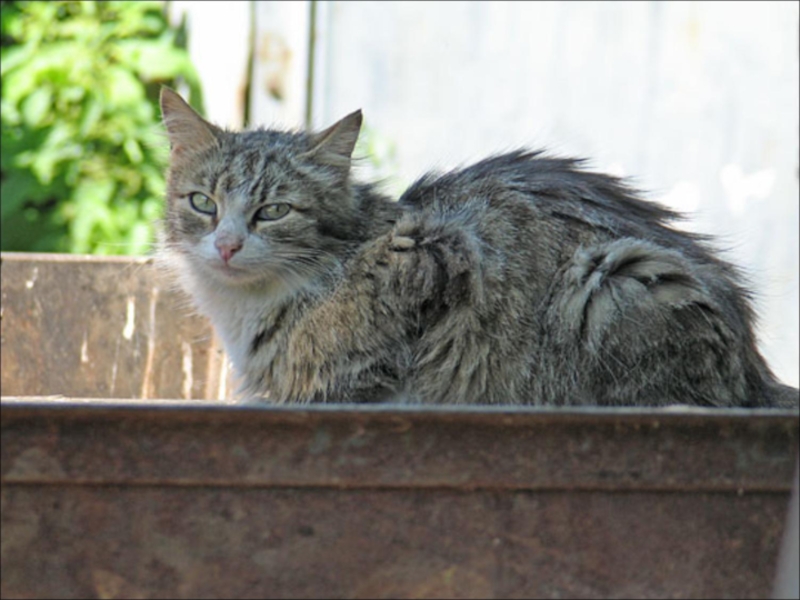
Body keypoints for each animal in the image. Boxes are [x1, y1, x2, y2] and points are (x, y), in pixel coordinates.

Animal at [158, 87, 799, 408]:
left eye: (274, 211)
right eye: (203, 203)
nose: (227, 245)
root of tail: (754, 371)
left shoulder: (440, 257)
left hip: (609, 275)